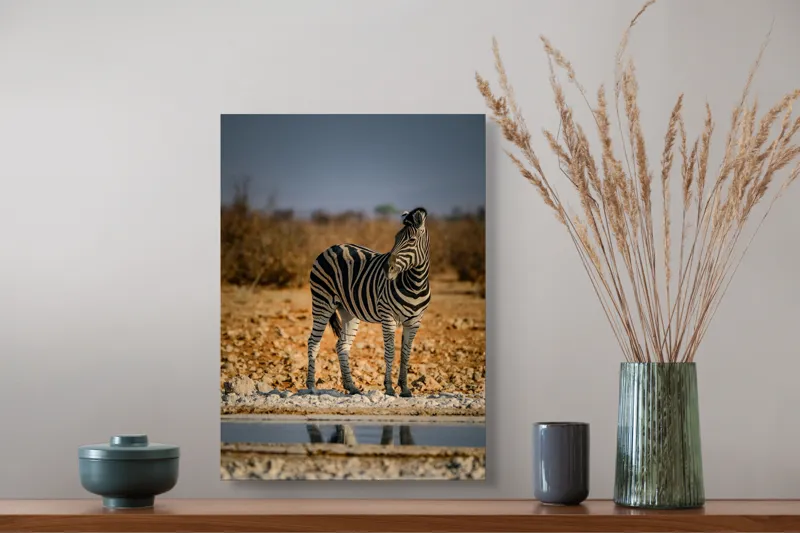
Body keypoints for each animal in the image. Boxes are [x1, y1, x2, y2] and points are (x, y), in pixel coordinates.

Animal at [306, 207, 431, 397]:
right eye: (395, 238)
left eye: (411, 240)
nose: (387, 268)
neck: (415, 285)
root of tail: (332, 247)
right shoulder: (388, 317)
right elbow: (390, 352)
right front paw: (389, 388)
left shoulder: (415, 321)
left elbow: (406, 354)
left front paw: (405, 389)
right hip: (322, 302)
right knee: (313, 342)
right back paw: (311, 387)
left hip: (348, 311)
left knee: (342, 345)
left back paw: (351, 387)